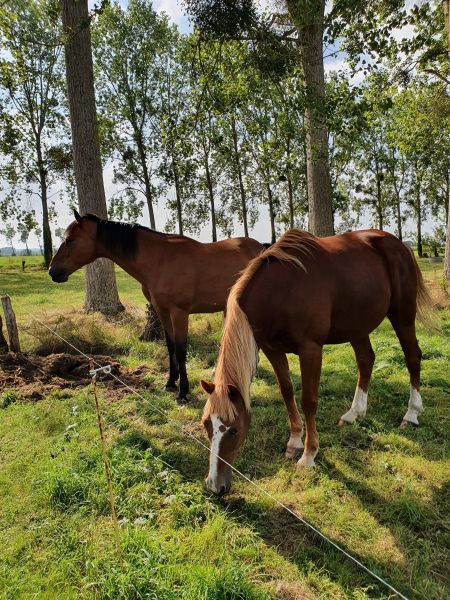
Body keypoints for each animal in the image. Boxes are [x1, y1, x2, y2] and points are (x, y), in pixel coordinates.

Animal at [50, 211, 264, 404]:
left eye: (69, 240)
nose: (53, 271)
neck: (161, 260)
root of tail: (261, 248)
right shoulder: (162, 311)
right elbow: (170, 346)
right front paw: (170, 383)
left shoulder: (179, 313)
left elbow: (181, 350)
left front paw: (183, 392)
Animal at [201, 227, 432, 494]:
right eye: (206, 425)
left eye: (234, 429)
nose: (215, 485)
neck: (281, 291)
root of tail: (398, 244)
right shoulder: (272, 350)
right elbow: (286, 391)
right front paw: (294, 441)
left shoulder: (311, 350)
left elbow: (308, 401)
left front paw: (309, 455)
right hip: (357, 326)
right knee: (366, 360)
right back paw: (354, 413)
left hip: (402, 316)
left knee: (412, 357)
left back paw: (411, 414)